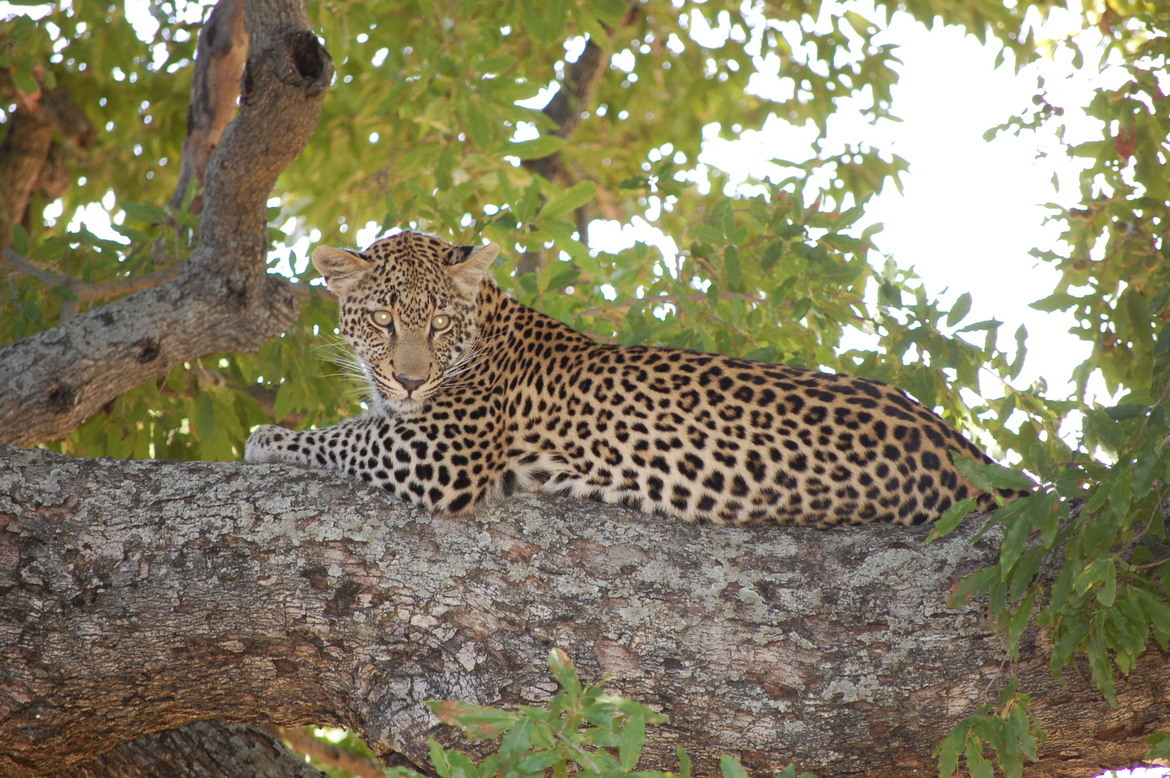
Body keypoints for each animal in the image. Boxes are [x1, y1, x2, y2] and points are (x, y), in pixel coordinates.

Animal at [245, 230, 1023, 527]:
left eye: (437, 324)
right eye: (383, 320)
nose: (409, 381)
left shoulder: (440, 454)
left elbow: (346, 437)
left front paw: (267, 439)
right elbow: (360, 424)